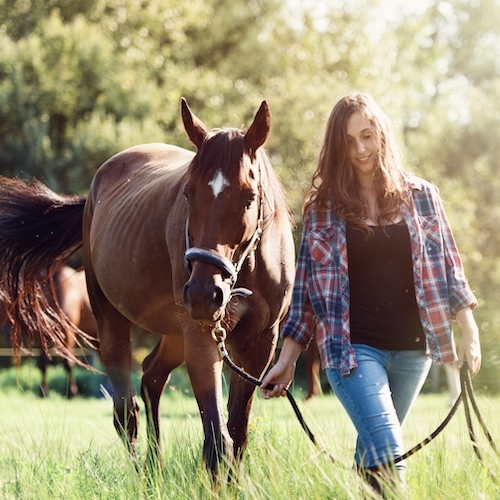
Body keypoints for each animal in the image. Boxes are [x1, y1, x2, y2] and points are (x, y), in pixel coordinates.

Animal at [0, 98, 295, 479]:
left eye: (248, 196)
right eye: (188, 193)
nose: (204, 293)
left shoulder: (260, 344)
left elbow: (237, 433)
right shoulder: (201, 335)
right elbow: (218, 439)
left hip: (174, 332)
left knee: (152, 377)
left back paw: (156, 467)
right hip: (113, 322)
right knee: (126, 412)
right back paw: (142, 478)